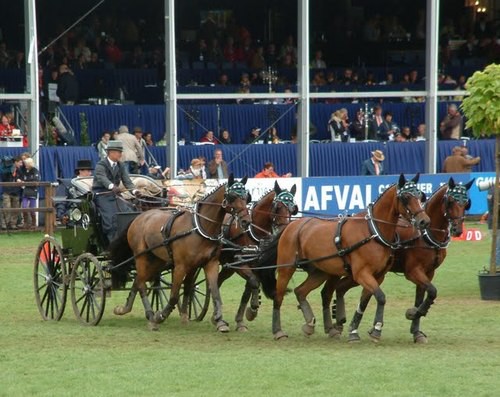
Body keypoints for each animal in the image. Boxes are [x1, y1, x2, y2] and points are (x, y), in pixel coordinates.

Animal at [109, 174, 250, 332]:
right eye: (232, 196)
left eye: (246, 197)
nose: (246, 221)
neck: (199, 227)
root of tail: (139, 217)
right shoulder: (180, 266)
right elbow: (174, 295)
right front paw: (160, 316)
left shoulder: (210, 263)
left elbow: (214, 292)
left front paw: (219, 321)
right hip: (141, 257)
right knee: (141, 284)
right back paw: (151, 316)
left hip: (157, 260)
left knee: (138, 281)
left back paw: (126, 309)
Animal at [218, 181, 296, 330]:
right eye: (277, 207)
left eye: (293, 208)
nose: (284, 230)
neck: (253, 232)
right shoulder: (240, 264)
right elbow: (254, 282)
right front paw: (253, 309)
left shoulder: (255, 267)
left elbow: (248, 290)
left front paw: (241, 320)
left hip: (227, 267)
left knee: (217, 281)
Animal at [256, 175, 428, 338]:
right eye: (405, 197)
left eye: (420, 196)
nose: (424, 221)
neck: (372, 231)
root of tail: (291, 226)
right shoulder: (362, 273)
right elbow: (380, 297)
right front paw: (376, 329)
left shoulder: (378, 276)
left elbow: (367, 300)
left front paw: (358, 329)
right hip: (286, 268)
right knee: (278, 297)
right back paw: (278, 331)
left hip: (320, 271)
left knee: (301, 291)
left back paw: (311, 324)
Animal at [322, 176, 474, 340]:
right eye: (450, 201)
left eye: (466, 202)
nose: (457, 229)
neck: (424, 235)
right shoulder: (413, 272)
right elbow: (432, 291)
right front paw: (413, 313)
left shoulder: (428, 273)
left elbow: (422, 297)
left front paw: (416, 330)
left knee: (340, 288)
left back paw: (339, 322)